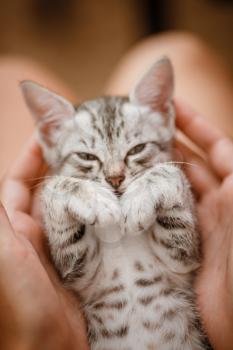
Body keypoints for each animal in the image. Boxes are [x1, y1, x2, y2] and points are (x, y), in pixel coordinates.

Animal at [20, 58, 210, 350]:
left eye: (137, 149)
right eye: (86, 156)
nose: (115, 178)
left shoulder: (183, 257)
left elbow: (170, 172)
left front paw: (139, 200)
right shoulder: (78, 271)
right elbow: (56, 186)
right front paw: (96, 199)